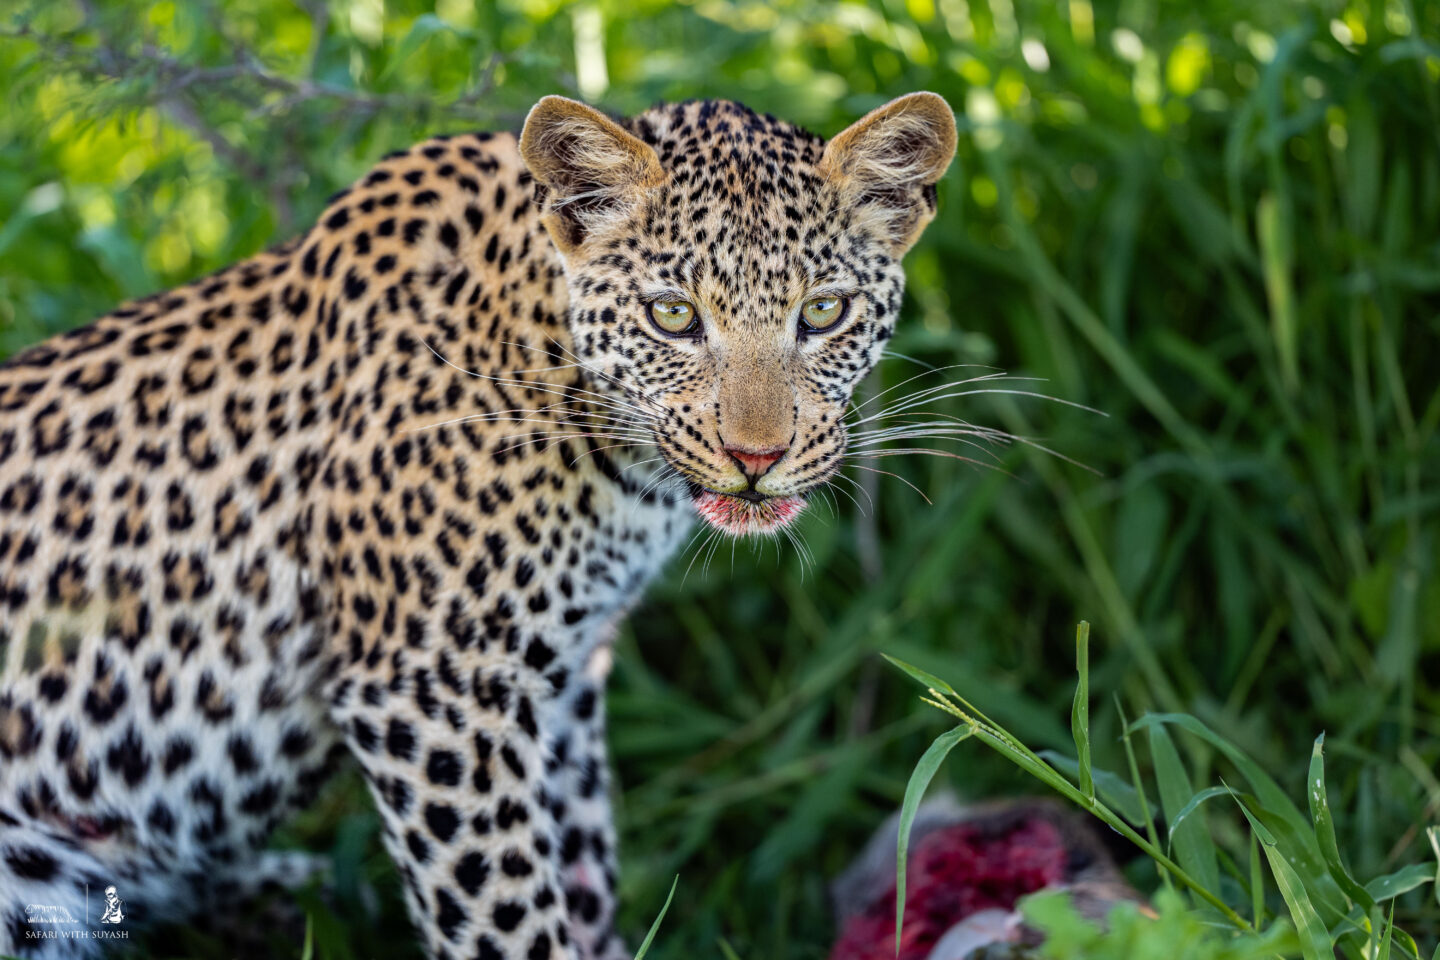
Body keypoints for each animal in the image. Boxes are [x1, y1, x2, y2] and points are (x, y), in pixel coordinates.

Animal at [2, 92, 956, 960]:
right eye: (673, 315)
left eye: (824, 312)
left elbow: (580, 860)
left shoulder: (562, 678)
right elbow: (506, 907)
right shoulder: (434, 687)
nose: (756, 457)